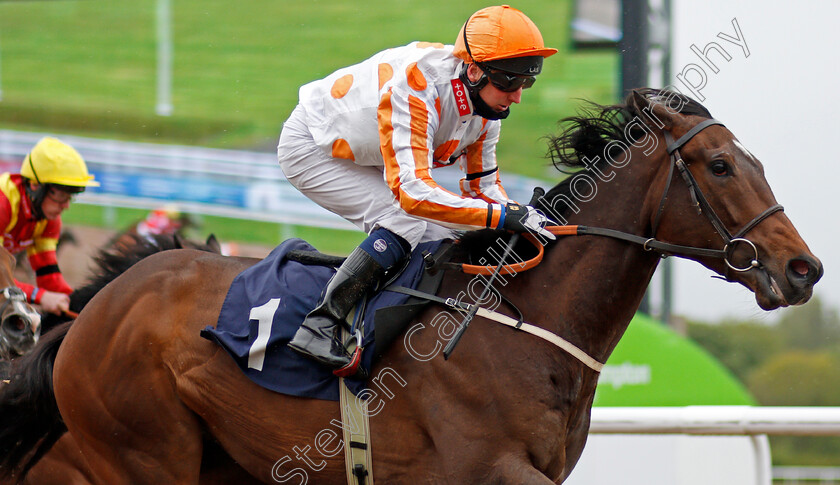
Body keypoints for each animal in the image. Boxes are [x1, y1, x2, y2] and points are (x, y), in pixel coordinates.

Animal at [0, 90, 824, 480]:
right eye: (721, 165)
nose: (803, 268)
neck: (523, 323)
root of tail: (94, 310)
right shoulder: (478, 468)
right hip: (145, 450)